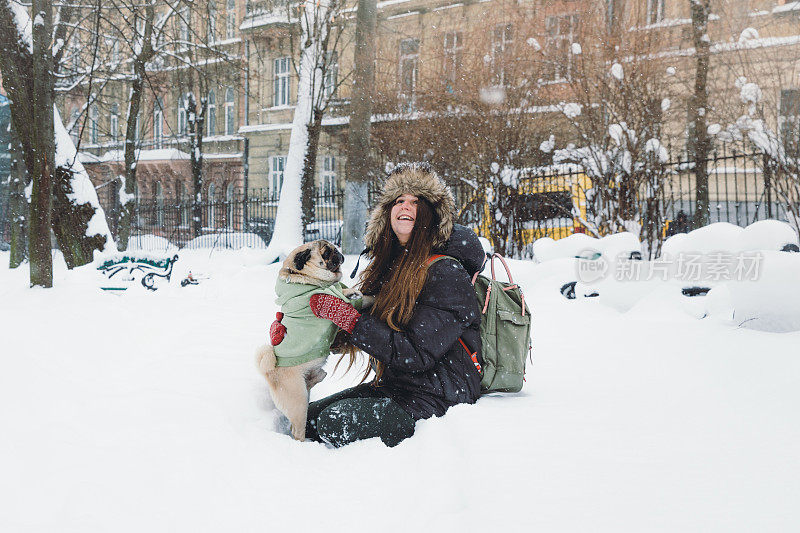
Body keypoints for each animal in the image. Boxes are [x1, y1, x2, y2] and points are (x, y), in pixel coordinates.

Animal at [255, 241, 374, 440]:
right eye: (326, 253)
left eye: (333, 248)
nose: (338, 252)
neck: (302, 276)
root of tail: (269, 373)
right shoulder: (338, 300)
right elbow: (361, 300)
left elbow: (348, 291)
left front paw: (354, 291)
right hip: (299, 401)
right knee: (296, 430)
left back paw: (319, 376)